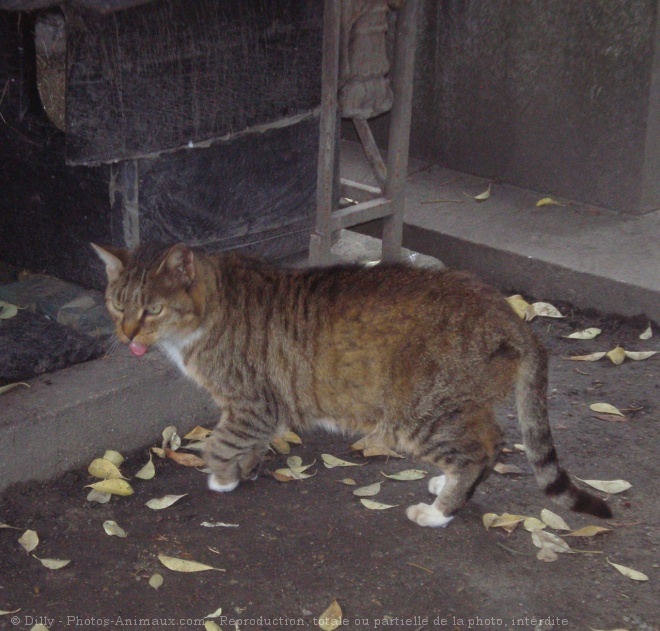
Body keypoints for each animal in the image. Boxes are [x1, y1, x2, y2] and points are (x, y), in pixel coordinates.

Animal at [90, 244, 612, 524]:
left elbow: (220, 443)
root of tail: (512, 316)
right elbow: (247, 442)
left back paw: (440, 511)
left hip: (419, 413)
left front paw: (222, 477)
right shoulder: (258, 408)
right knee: (492, 440)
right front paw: (248, 468)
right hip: (460, 404)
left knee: (476, 451)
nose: (127, 335)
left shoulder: (252, 402)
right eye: (117, 304)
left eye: (152, 309)